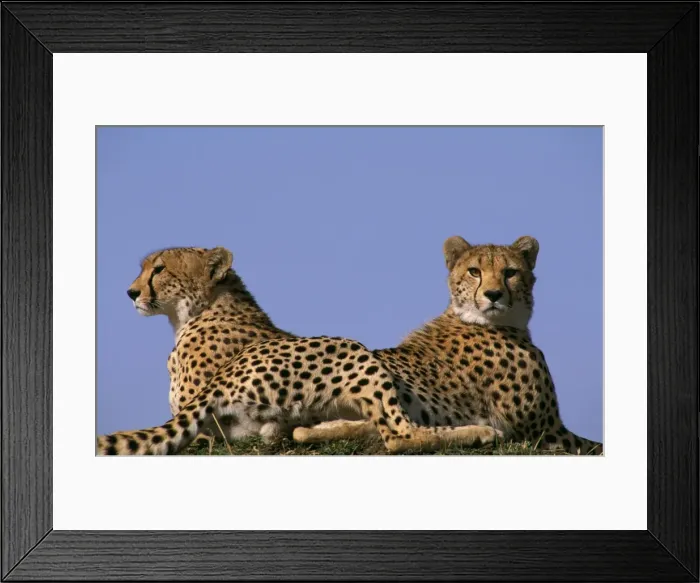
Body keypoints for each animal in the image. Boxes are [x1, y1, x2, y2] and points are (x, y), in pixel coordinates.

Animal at [97, 246, 502, 454]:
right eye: (146, 268)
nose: (131, 292)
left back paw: (480, 432)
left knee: (401, 435)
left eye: (159, 269)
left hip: (348, 347)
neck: (204, 307)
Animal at [293, 235, 603, 455]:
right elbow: (596, 445)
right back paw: (481, 433)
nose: (493, 294)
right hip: (354, 350)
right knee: (397, 437)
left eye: (510, 272)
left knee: (308, 431)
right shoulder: (548, 432)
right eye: (474, 271)